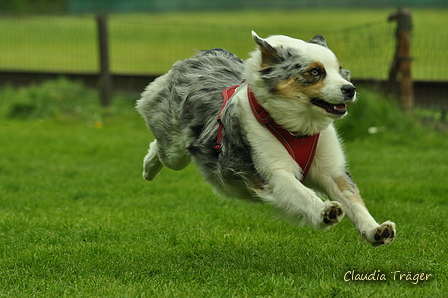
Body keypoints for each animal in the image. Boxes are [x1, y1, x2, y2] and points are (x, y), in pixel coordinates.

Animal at [136, 32, 396, 247]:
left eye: (339, 70)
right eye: (314, 72)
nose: (350, 89)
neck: (298, 128)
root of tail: (209, 53)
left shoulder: (333, 172)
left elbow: (354, 202)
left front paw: (375, 231)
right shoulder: (273, 172)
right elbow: (302, 193)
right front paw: (325, 211)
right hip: (174, 148)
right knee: (161, 148)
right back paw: (148, 169)